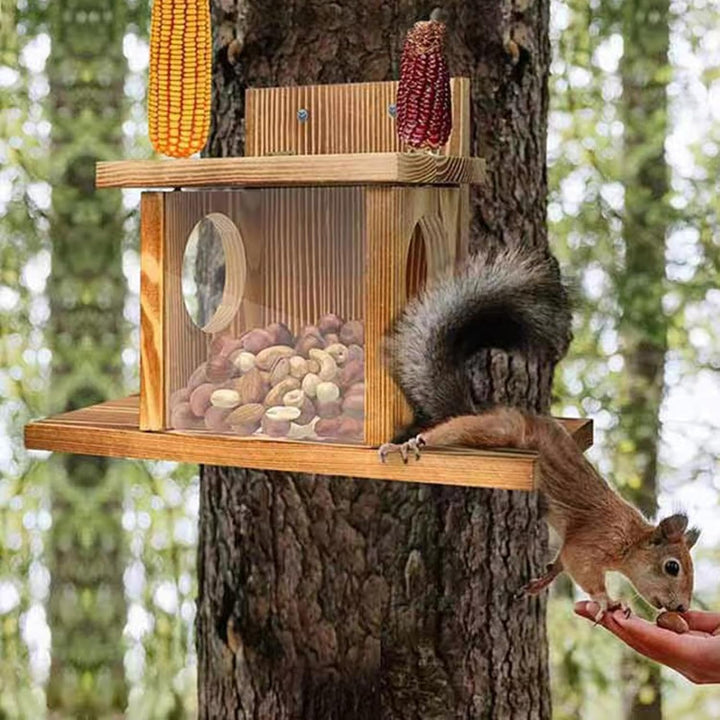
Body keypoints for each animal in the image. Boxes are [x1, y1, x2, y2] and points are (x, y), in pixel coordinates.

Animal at [379, 246, 700, 621]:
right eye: (672, 567)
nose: (682, 607)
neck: (630, 538)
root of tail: (485, 410)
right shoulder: (594, 540)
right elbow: (579, 564)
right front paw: (607, 601)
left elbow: (561, 561)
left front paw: (543, 580)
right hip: (502, 430)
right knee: (452, 429)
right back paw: (409, 444)